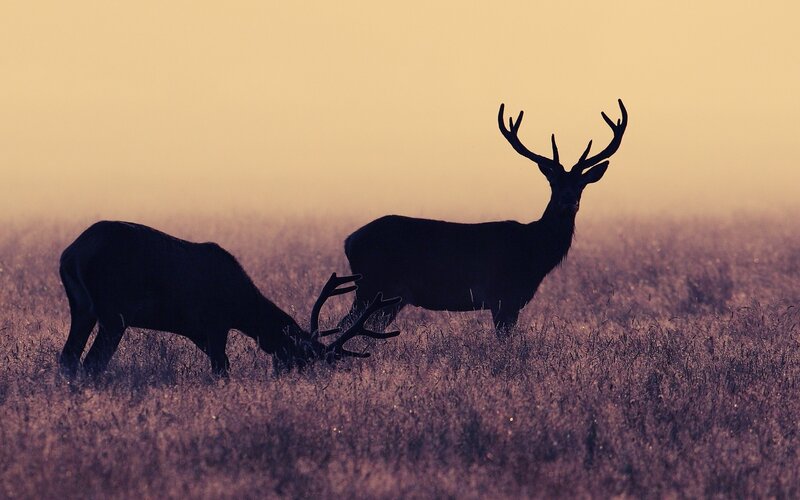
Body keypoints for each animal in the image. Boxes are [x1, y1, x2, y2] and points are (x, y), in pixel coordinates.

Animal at [58, 221, 401, 377]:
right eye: (302, 359)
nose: (286, 380)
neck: (241, 307)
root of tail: (72, 254)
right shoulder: (215, 322)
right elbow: (221, 367)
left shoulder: (200, 331)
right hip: (113, 311)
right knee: (93, 362)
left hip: (82, 308)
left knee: (68, 358)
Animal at [340, 99, 628, 336]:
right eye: (553, 183)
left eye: (581, 185)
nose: (568, 201)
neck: (534, 252)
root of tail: (349, 240)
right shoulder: (504, 296)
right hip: (374, 286)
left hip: (387, 296)